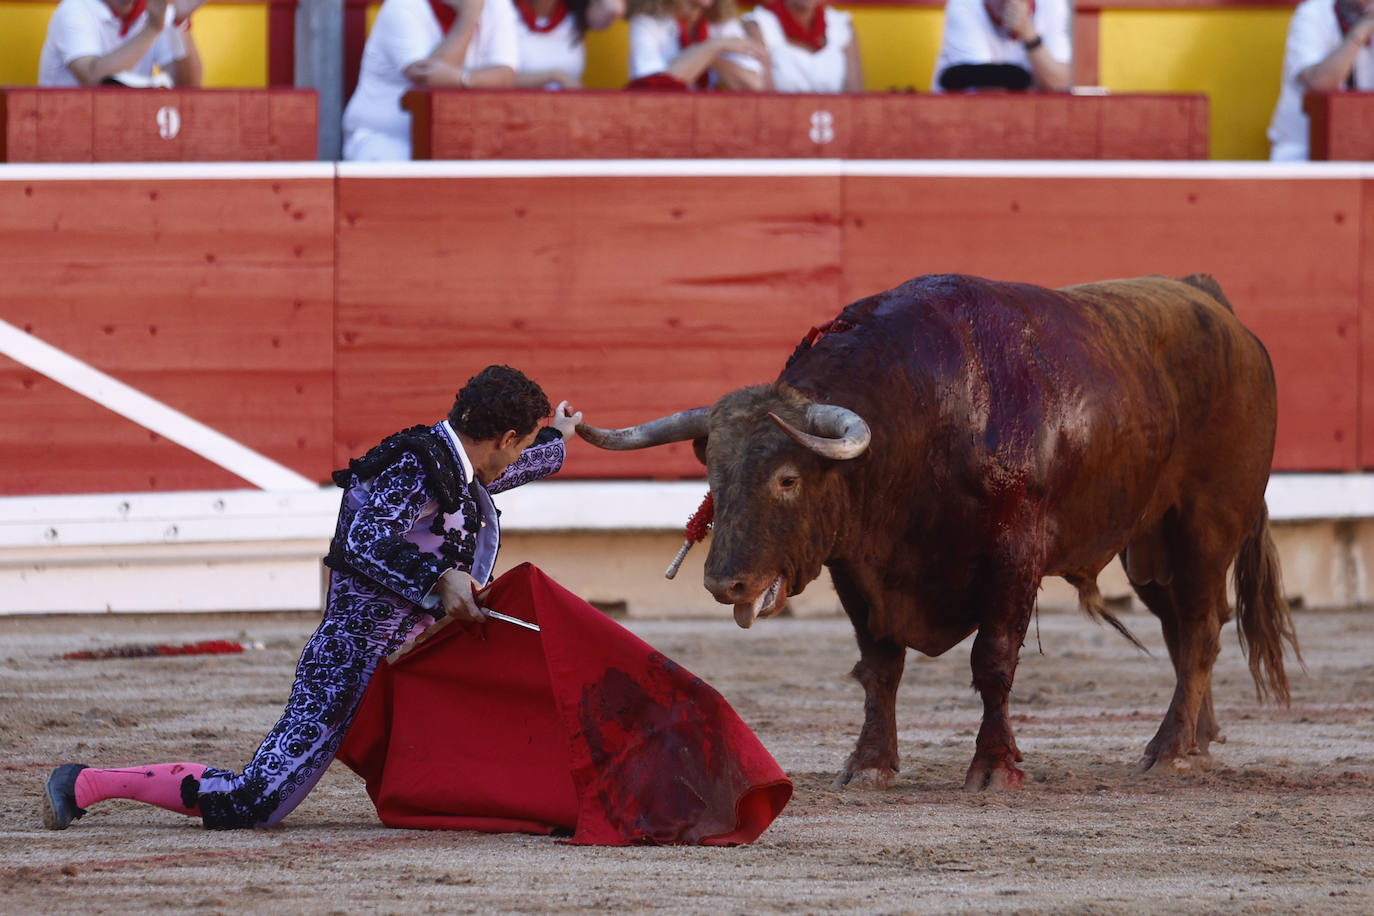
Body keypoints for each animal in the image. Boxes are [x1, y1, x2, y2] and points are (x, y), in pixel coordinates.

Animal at [577, 274, 1297, 796]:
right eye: (714, 475)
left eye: (787, 478)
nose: (726, 582)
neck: (924, 417)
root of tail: (1217, 307)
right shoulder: (859, 565)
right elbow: (879, 667)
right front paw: (868, 764)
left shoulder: (1015, 557)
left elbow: (993, 661)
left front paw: (996, 768)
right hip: (1148, 547)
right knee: (1185, 628)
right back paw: (1198, 739)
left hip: (1204, 526)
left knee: (1200, 628)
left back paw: (1168, 751)